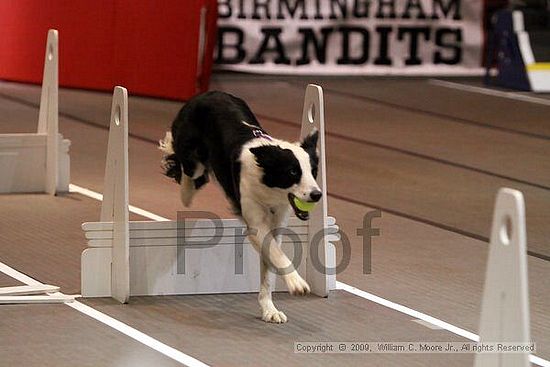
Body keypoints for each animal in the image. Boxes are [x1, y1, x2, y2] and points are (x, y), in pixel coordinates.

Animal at [158, 90, 324, 324]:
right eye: (292, 172)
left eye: (314, 171)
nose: (317, 195)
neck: (268, 182)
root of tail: (207, 93)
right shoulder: (255, 221)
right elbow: (277, 254)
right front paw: (296, 283)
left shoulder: (277, 220)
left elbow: (270, 262)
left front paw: (269, 309)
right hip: (192, 154)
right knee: (189, 171)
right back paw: (185, 187)